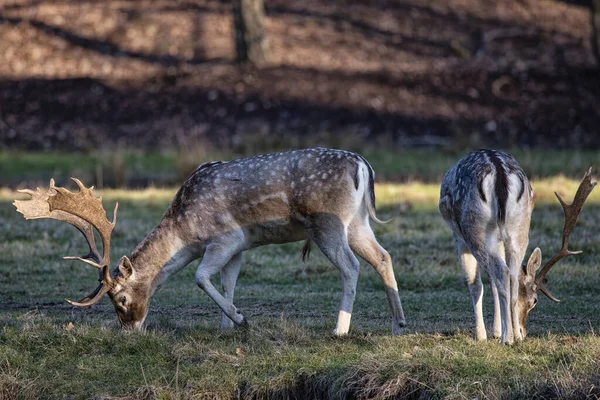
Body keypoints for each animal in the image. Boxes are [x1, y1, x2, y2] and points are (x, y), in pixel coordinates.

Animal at [15, 147, 408, 334]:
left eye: (121, 298)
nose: (129, 330)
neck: (186, 233)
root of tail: (364, 166)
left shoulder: (225, 237)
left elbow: (201, 277)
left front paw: (240, 319)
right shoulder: (239, 248)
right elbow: (228, 281)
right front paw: (226, 325)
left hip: (327, 223)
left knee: (351, 267)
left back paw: (340, 328)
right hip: (357, 223)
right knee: (383, 256)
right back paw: (398, 324)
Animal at [438, 150, 596, 344]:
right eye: (535, 300)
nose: (524, 329)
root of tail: (500, 173)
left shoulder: (459, 239)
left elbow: (476, 285)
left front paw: (482, 336)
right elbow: (494, 285)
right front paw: (498, 331)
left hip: (474, 229)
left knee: (502, 272)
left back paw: (507, 339)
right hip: (520, 227)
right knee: (511, 275)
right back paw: (515, 337)